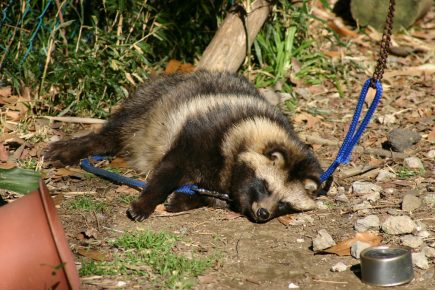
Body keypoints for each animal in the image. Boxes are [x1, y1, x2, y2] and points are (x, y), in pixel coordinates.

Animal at [46, 70, 326, 222]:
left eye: (284, 203)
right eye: (265, 185)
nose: (263, 214)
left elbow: (221, 197)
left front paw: (188, 198)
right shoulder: (201, 132)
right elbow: (169, 169)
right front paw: (148, 199)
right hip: (149, 102)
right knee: (116, 132)